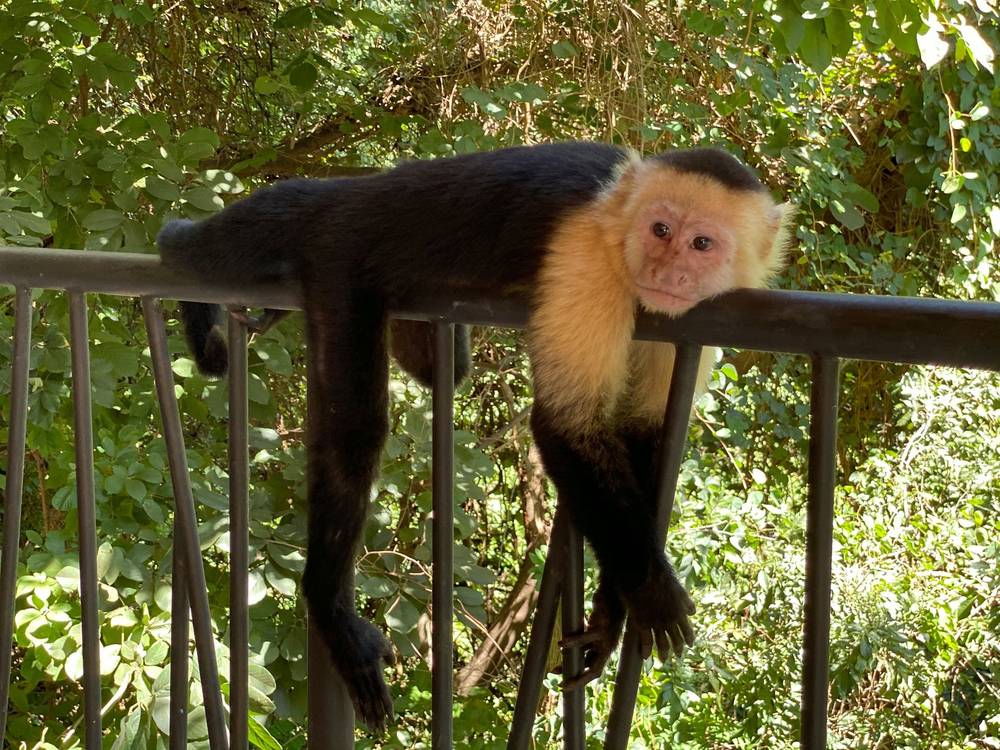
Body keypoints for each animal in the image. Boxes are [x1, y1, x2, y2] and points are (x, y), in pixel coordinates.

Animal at [157, 142, 792, 731]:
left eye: (701, 244)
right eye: (660, 229)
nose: (665, 272)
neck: (619, 225)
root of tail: (361, 191)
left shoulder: (680, 316)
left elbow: (643, 431)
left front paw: (613, 612)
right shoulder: (588, 258)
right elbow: (565, 426)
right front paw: (651, 586)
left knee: (441, 365)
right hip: (341, 258)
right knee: (353, 429)